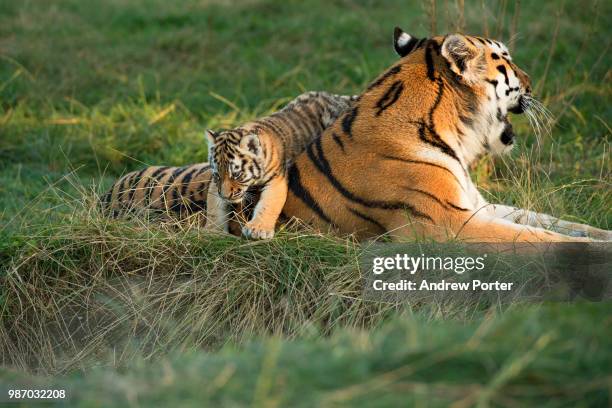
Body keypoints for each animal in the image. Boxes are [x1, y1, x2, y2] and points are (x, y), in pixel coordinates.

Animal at [282, 31, 612, 242]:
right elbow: (537, 237)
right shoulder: (447, 223)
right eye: (507, 60)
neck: (454, 132)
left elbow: (550, 222)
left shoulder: (476, 205)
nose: (532, 84)